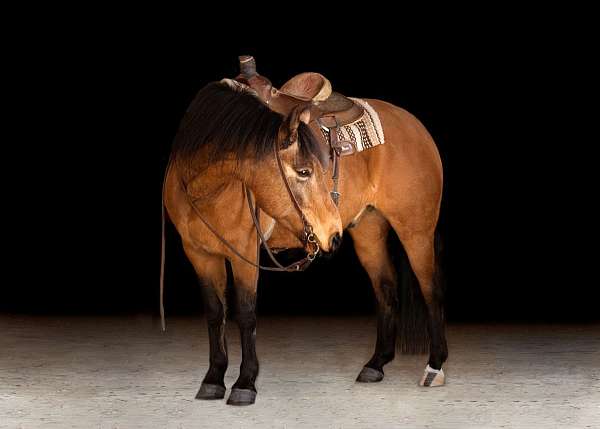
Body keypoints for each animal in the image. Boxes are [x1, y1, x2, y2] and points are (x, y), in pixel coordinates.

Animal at [162, 55, 448, 402]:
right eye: (303, 171)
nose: (332, 233)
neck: (205, 186)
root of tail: (416, 126)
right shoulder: (199, 254)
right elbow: (216, 313)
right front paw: (214, 379)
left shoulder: (244, 253)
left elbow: (245, 313)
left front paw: (245, 383)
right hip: (368, 230)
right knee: (386, 289)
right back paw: (375, 365)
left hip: (416, 230)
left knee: (430, 289)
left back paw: (434, 367)